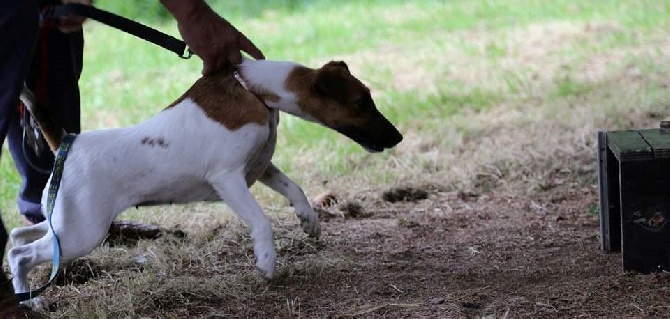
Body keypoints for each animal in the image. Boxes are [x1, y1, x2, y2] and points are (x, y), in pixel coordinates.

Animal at [9, 58, 404, 306]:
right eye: (361, 102)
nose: (397, 136)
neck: (253, 90)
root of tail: (67, 143)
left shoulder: (260, 168)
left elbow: (295, 188)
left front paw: (309, 220)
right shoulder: (229, 179)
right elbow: (261, 222)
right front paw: (266, 262)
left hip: (65, 222)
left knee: (18, 237)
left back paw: (27, 296)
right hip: (82, 232)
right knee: (21, 254)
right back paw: (32, 303)